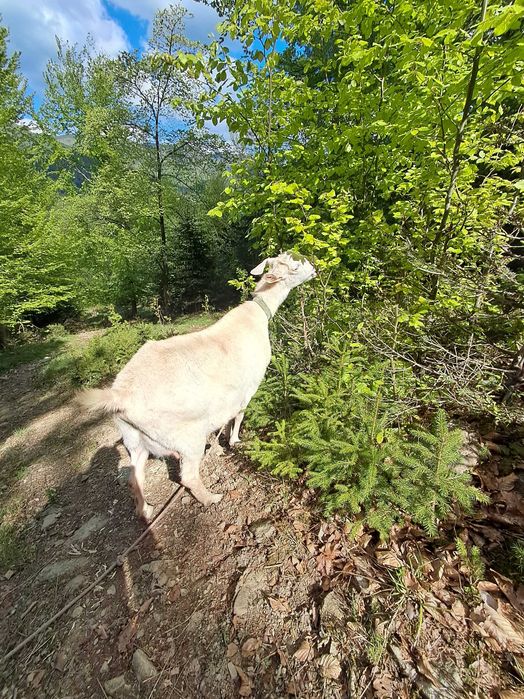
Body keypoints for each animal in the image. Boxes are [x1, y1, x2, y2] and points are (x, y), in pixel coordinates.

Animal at [80, 252, 316, 519]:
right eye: (295, 266)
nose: (314, 268)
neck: (257, 314)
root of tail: (120, 394)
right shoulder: (247, 387)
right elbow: (239, 415)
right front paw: (234, 441)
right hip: (185, 436)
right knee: (189, 476)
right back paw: (211, 498)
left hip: (133, 438)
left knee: (134, 476)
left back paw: (145, 510)